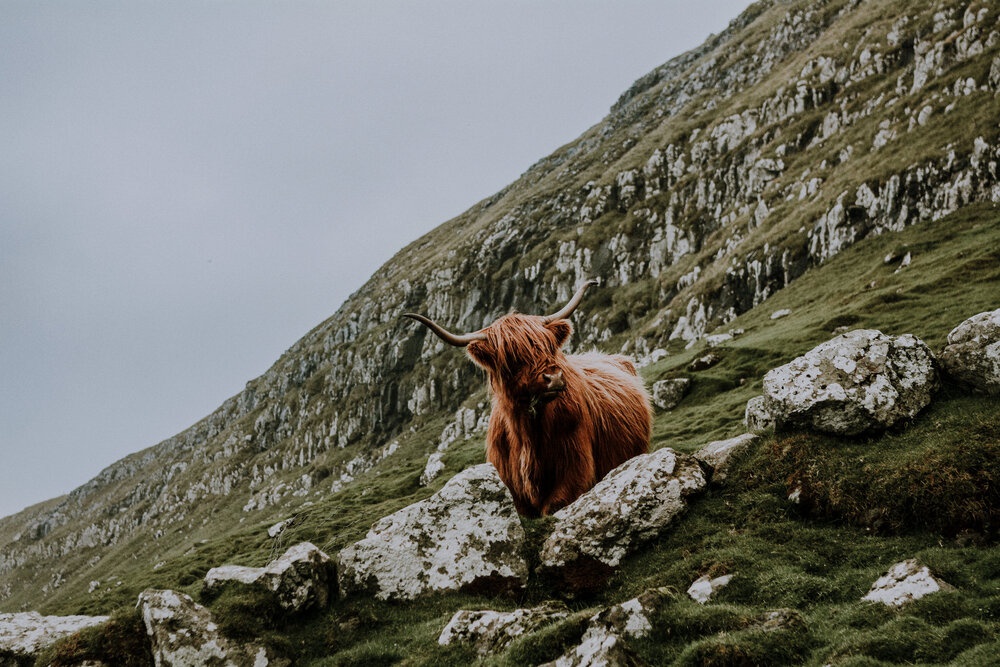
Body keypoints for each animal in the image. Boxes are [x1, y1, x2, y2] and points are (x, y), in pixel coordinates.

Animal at [402, 280, 652, 516]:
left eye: (549, 346)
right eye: (512, 357)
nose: (554, 378)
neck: (528, 434)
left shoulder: (575, 471)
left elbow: (554, 505)